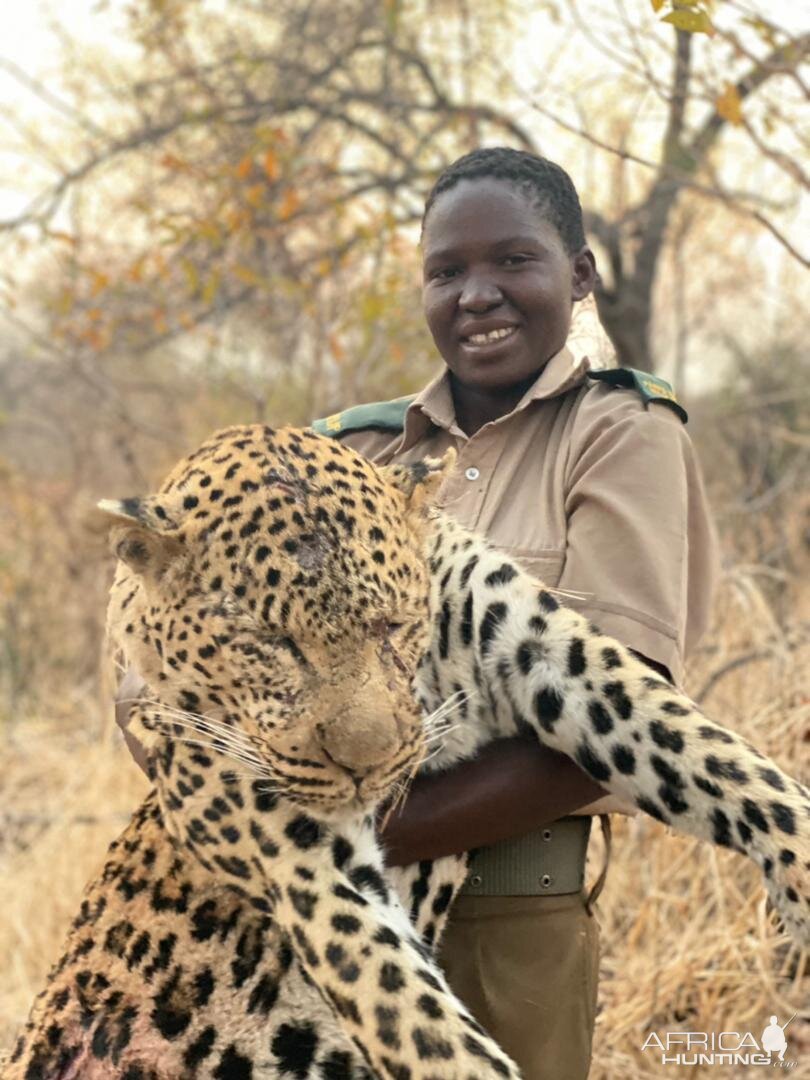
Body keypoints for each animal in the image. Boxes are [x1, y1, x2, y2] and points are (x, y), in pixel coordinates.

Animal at [7, 423, 810, 1080]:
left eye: (392, 625)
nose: (367, 765)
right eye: (270, 643)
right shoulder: (296, 852)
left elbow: (715, 756)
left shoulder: (547, 649)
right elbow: (418, 1021)